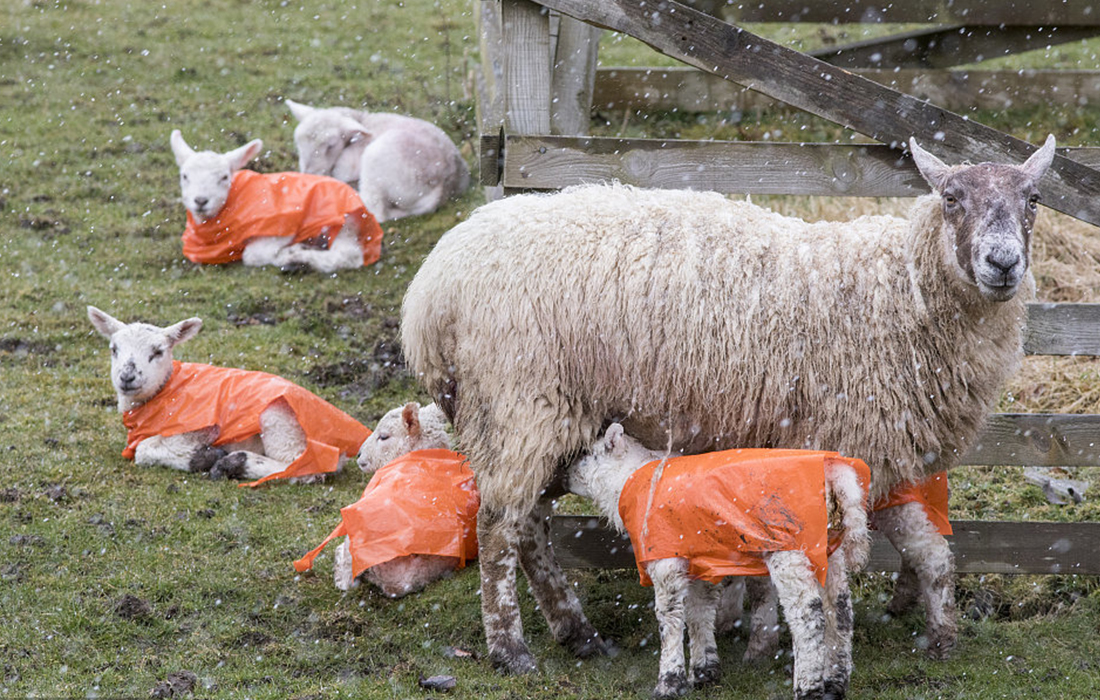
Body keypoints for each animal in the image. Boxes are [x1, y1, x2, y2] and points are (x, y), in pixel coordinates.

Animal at [87, 306, 369, 484]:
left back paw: (234, 463)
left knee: (303, 467)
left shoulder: (198, 430)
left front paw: (205, 457)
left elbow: (144, 450)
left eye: (157, 352)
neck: (166, 389)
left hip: (280, 420)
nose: (127, 376)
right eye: (114, 349)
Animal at [169, 130, 383, 273]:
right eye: (185, 176)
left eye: (224, 177)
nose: (201, 200)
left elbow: (253, 254)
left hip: (342, 223)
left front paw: (287, 252)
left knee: (348, 255)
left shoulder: (281, 226)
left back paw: (299, 257)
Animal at [285, 99, 470, 222]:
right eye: (298, 143)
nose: (308, 174)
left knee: (377, 211)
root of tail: (443, 185)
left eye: (330, 146)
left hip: (377, 160)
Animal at [569, 424, 871, 699]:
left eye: (587, 452)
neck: (631, 479)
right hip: (830, 548)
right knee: (840, 611)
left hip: (791, 546)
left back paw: (808, 687)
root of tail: (836, 475)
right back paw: (835, 683)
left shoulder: (667, 560)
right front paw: (704, 673)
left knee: (808, 615)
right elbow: (699, 612)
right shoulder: (699, 561)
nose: (565, 473)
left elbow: (670, 618)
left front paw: (669, 683)